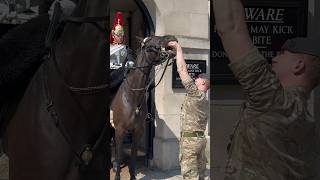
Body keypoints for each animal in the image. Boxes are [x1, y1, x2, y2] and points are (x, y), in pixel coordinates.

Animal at [110, 35, 176, 180]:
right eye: (154, 40)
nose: (173, 37)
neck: (132, 95)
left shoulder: (138, 131)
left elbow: (133, 155)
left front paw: (132, 176)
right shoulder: (120, 130)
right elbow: (119, 151)